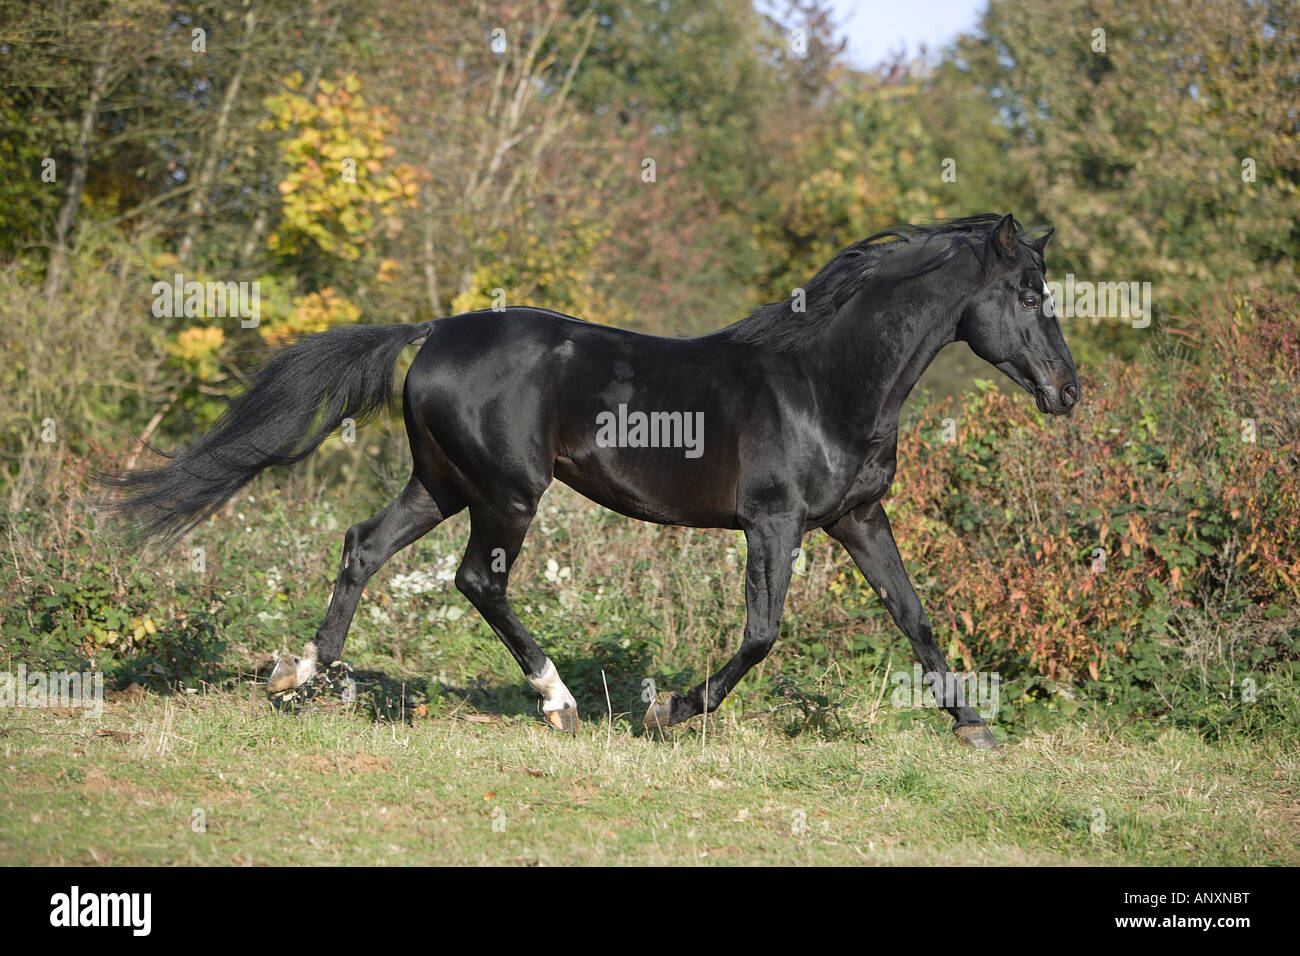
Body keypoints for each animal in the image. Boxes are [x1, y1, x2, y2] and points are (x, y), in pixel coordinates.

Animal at [103, 213, 1079, 750]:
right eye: (1030, 294)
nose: (1067, 391)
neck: (826, 384)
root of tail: (435, 332)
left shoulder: (859, 519)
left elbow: (915, 616)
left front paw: (974, 726)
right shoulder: (776, 523)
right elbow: (763, 634)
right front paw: (671, 711)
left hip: (443, 484)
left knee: (363, 548)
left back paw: (305, 677)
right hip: (506, 493)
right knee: (476, 580)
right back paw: (559, 701)